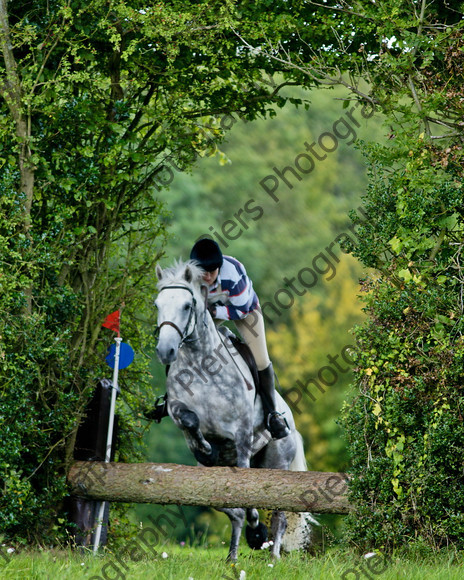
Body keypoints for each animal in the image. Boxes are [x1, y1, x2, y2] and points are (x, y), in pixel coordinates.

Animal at [155, 260, 312, 560]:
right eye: (157, 304)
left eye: (187, 306)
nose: (165, 351)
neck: (200, 364)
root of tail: (291, 419)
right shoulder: (179, 412)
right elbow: (190, 421)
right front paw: (207, 448)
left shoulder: (241, 435)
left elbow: (248, 496)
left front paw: (257, 530)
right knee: (235, 512)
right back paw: (232, 557)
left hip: (277, 462)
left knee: (279, 516)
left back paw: (273, 555)